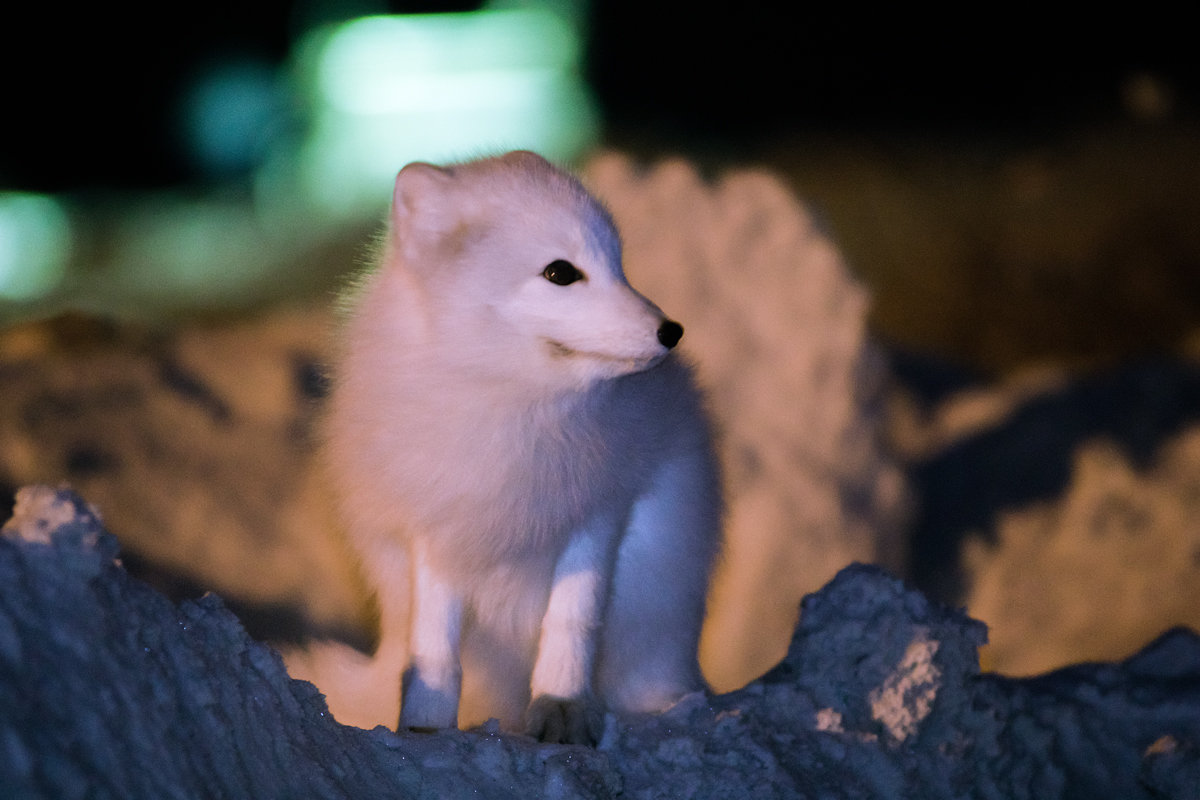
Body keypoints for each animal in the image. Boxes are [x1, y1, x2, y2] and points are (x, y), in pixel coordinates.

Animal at [321, 149, 720, 743]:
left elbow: (573, 620)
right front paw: (425, 727)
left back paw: (670, 710)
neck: (513, 405)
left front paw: (563, 712)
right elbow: (435, 646)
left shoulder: (601, 510)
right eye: (561, 273)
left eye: (619, 265)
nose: (671, 331)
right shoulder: (436, 524)